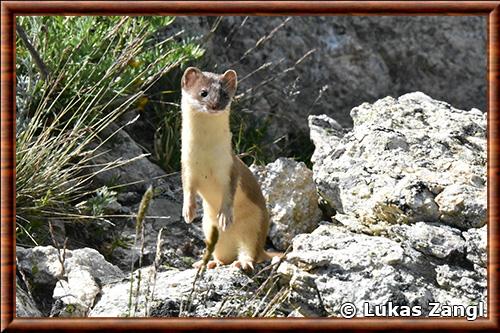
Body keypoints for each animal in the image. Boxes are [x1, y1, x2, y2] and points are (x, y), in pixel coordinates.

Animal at [181, 67, 272, 270]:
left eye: (224, 94)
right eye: (203, 92)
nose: (215, 105)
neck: (206, 154)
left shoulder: (229, 167)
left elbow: (230, 191)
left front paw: (225, 217)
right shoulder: (186, 166)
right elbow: (188, 189)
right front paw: (188, 212)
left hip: (255, 226)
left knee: (251, 252)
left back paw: (243, 263)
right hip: (209, 228)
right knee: (221, 255)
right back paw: (208, 263)